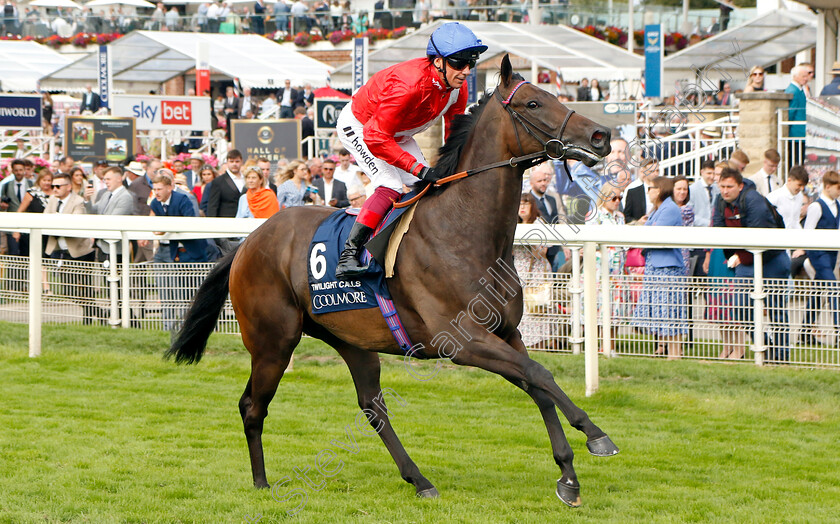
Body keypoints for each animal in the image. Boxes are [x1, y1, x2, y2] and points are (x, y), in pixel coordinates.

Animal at [169, 56, 616, 508]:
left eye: (553, 95)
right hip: (272, 342)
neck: (463, 230)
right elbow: (540, 374)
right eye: (532, 103)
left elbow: (536, 381)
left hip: (350, 338)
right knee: (252, 406)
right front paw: (596, 435)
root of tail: (247, 243)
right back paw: (261, 483)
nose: (601, 135)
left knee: (371, 407)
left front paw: (568, 475)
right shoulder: (462, 342)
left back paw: (419, 479)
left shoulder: (507, 334)